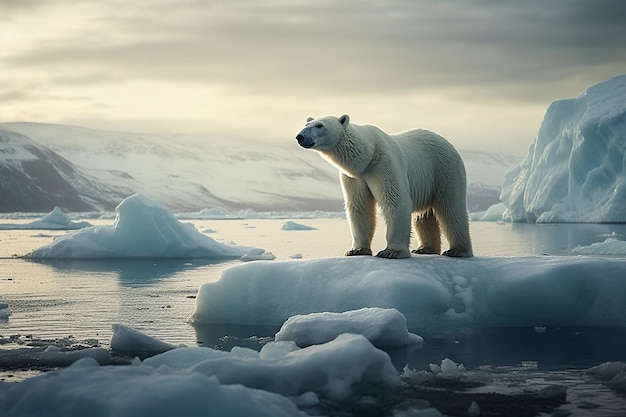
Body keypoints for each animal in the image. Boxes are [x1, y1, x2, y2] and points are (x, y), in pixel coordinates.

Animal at [294, 114, 470, 256]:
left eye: (319, 125)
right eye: (306, 124)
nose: (299, 137)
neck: (367, 155)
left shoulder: (384, 164)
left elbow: (395, 200)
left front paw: (391, 252)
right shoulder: (354, 177)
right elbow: (359, 207)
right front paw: (356, 250)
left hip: (444, 169)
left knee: (451, 208)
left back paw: (457, 250)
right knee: (423, 216)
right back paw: (425, 248)